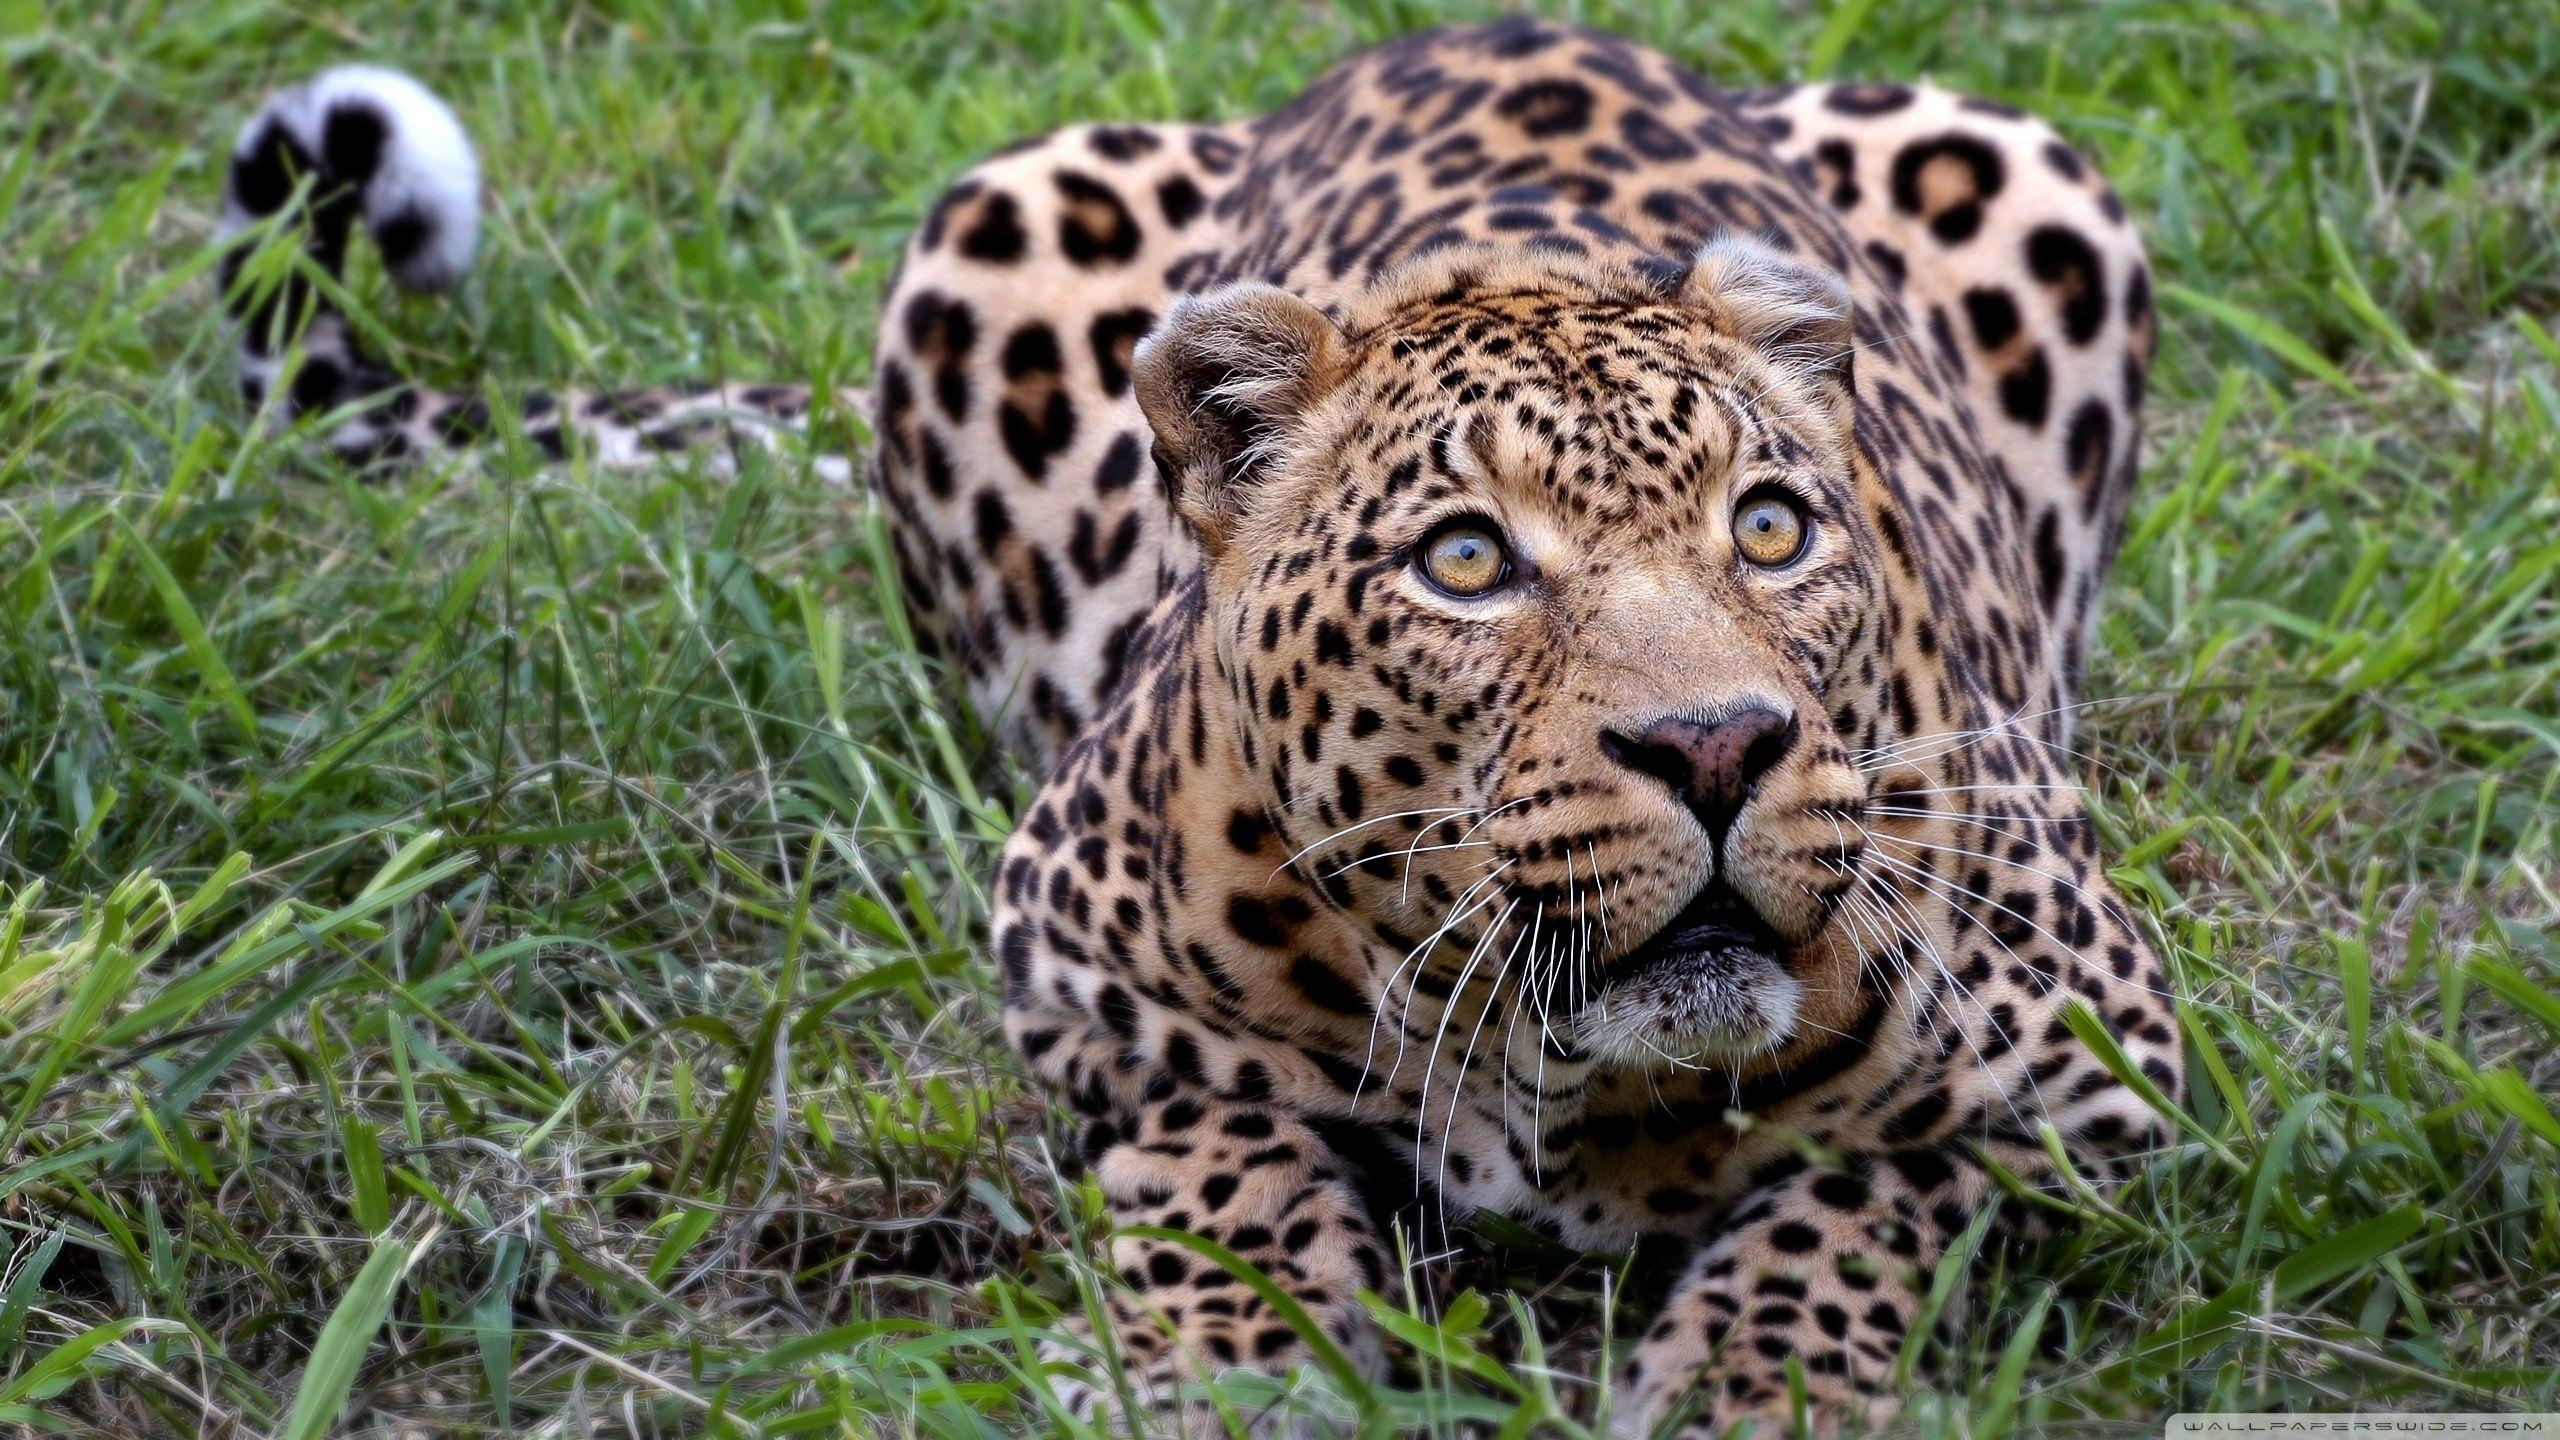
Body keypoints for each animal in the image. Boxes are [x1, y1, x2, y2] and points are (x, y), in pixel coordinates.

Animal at [216, 19, 2181, 1434]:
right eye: (1469, 561)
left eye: (1770, 530)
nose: (1715, 749)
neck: (1560, 1081)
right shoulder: (1076, 971)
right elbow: (1213, 1146)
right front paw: (1222, 1365)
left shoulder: (2105, 1068)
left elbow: (1870, 1190)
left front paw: (1751, 1384)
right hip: (998, 214)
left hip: (2028, 166)